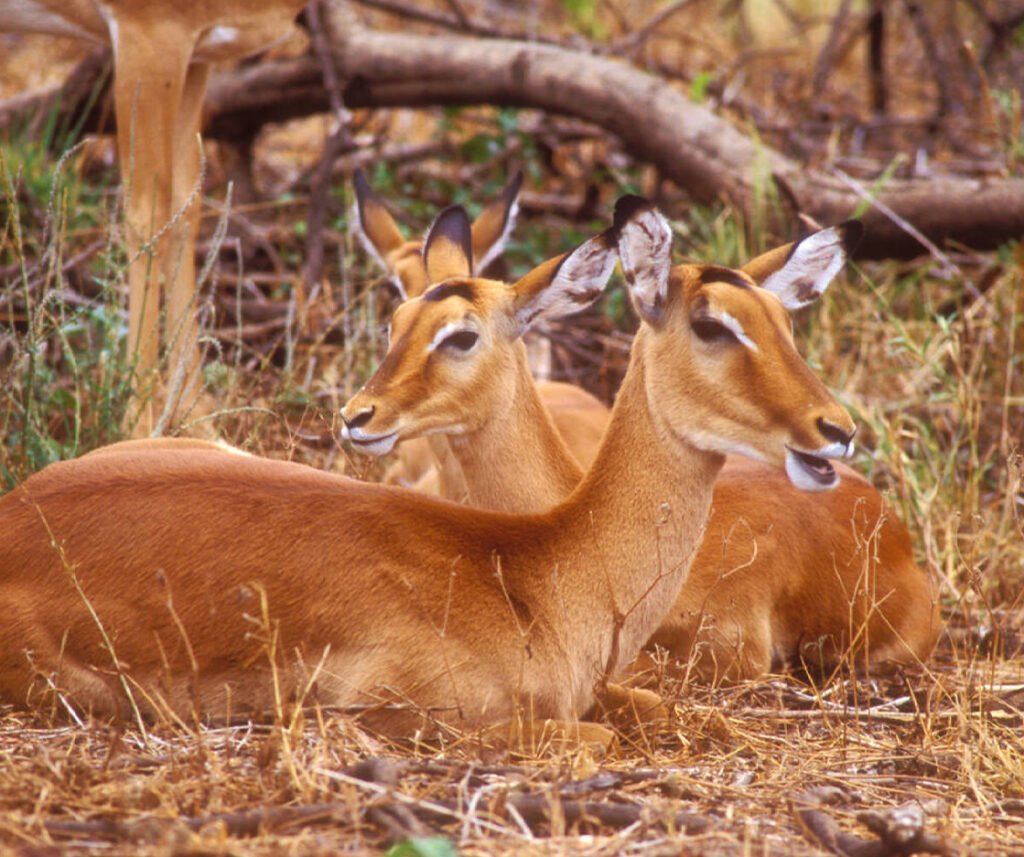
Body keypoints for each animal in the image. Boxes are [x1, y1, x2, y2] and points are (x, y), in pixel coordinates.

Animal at [0, 0, 309, 433]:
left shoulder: (196, 56)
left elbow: (184, 209)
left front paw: (199, 422)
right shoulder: (148, 36)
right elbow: (147, 217)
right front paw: (138, 428)